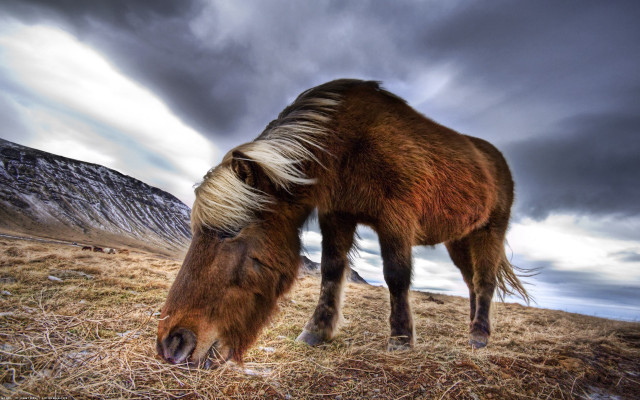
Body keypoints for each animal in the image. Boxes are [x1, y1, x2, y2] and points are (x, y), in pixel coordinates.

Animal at [157, 79, 528, 367]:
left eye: (231, 234)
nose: (172, 343)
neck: (348, 144)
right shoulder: (336, 215)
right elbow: (331, 270)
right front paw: (316, 332)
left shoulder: (396, 220)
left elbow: (395, 276)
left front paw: (400, 339)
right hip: (459, 240)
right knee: (471, 282)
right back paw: (473, 329)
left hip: (489, 233)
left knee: (483, 281)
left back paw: (479, 336)